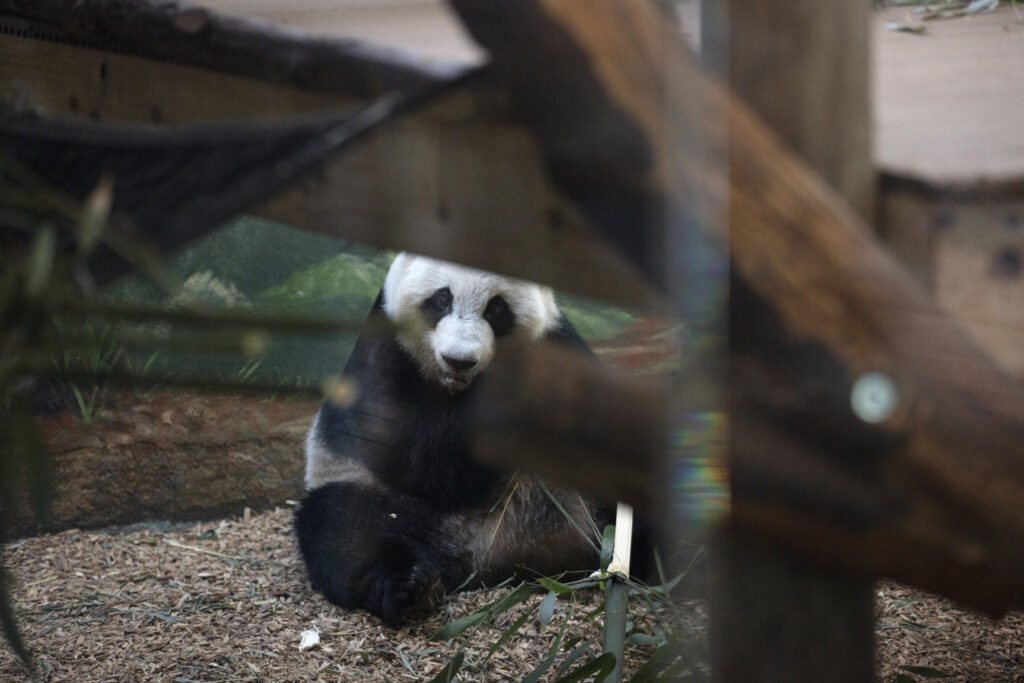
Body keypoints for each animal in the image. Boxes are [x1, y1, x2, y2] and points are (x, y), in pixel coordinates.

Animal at [295, 252, 626, 626]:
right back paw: (410, 587)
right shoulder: (385, 354)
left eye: (496, 308)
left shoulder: (558, 342)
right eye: (442, 299)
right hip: (365, 492)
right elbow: (423, 462)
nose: (459, 360)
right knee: (349, 532)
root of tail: (485, 557)